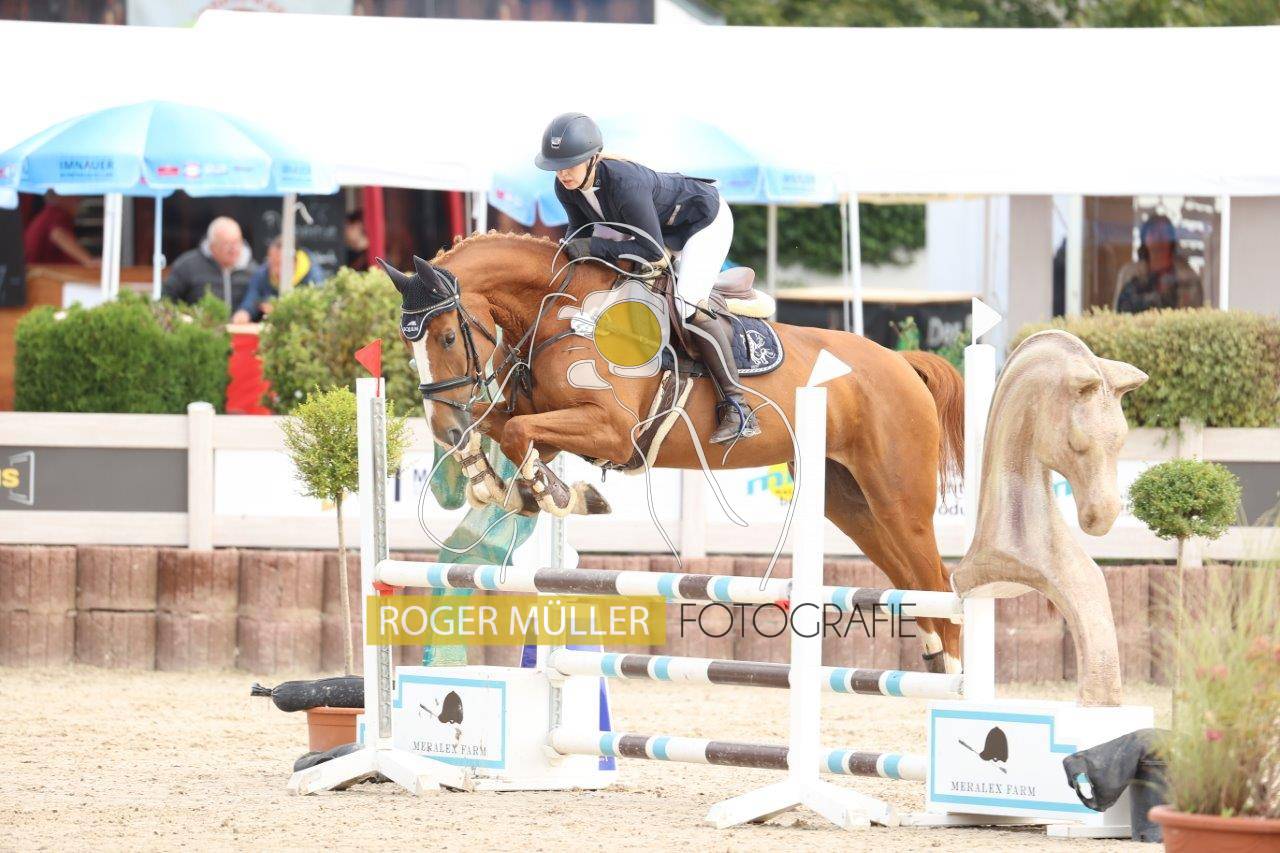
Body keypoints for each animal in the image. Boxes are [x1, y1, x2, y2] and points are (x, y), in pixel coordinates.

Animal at [379, 232, 965, 673]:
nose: (444, 427)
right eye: (408, 343)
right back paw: (935, 658)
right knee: (910, 578)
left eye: (448, 337)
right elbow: (505, 428)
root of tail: (901, 361)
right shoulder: (553, 419)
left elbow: (518, 432)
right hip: (846, 498)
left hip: (898, 496)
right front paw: (498, 483)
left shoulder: (613, 431)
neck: (560, 314)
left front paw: (559, 495)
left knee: (938, 576)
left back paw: (955, 677)